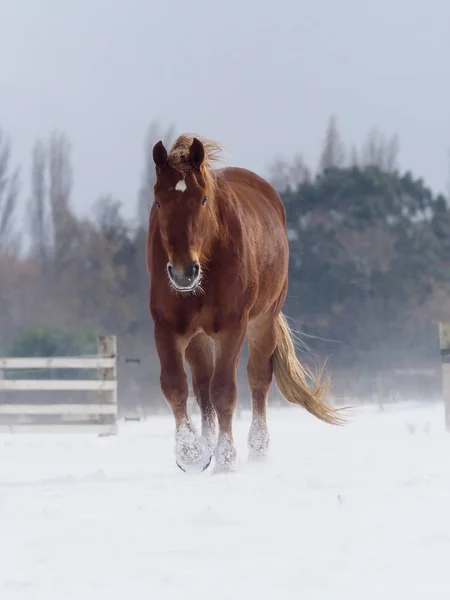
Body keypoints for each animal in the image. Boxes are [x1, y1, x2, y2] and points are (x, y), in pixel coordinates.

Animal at [148, 135, 344, 474]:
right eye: (159, 201)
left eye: (202, 200)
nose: (184, 272)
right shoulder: (168, 327)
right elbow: (176, 386)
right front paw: (191, 454)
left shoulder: (232, 327)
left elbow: (224, 390)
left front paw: (226, 460)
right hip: (198, 336)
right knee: (201, 385)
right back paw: (207, 445)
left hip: (263, 322)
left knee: (257, 379)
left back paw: (258, 449)